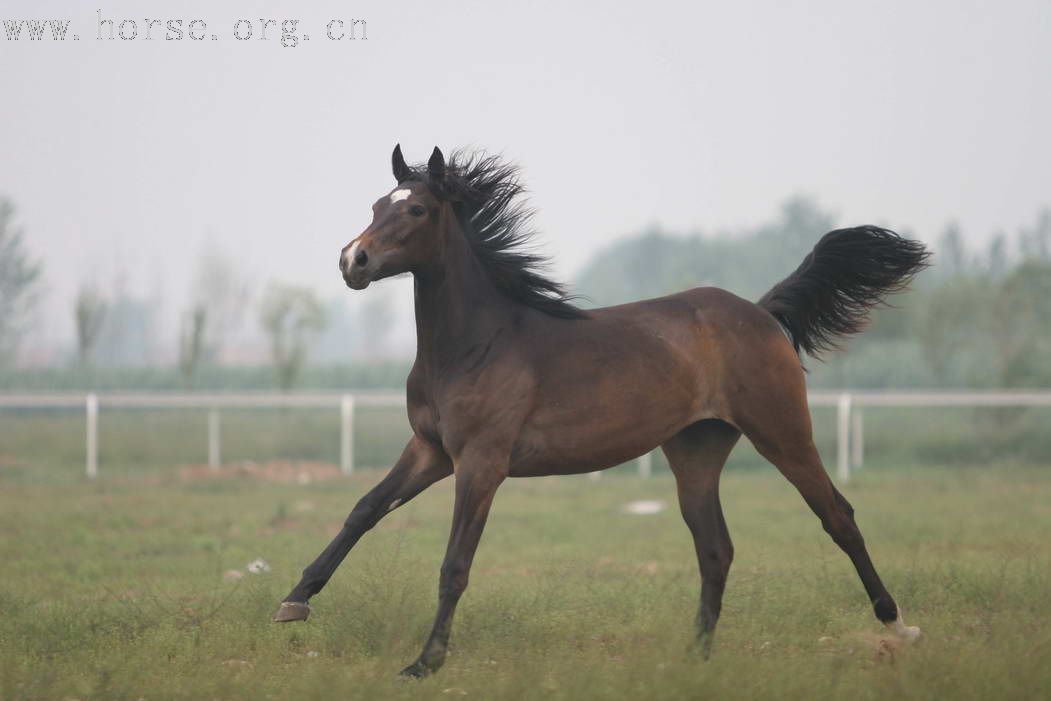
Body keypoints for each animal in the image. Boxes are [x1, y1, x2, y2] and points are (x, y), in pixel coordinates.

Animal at [275, 145, 933, 676]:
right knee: (716, 548)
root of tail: (763, 312)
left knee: (838, 516)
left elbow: (455, 562)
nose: (353, 260)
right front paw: (293, 600)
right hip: (696, 452)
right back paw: (694, 657)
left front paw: (424, 663)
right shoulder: (431, 450)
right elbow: (363, 510)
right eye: (376, 203)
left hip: (783, 432)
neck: (475, 342)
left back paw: (899, 626)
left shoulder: (481, 462)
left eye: (415, 211)